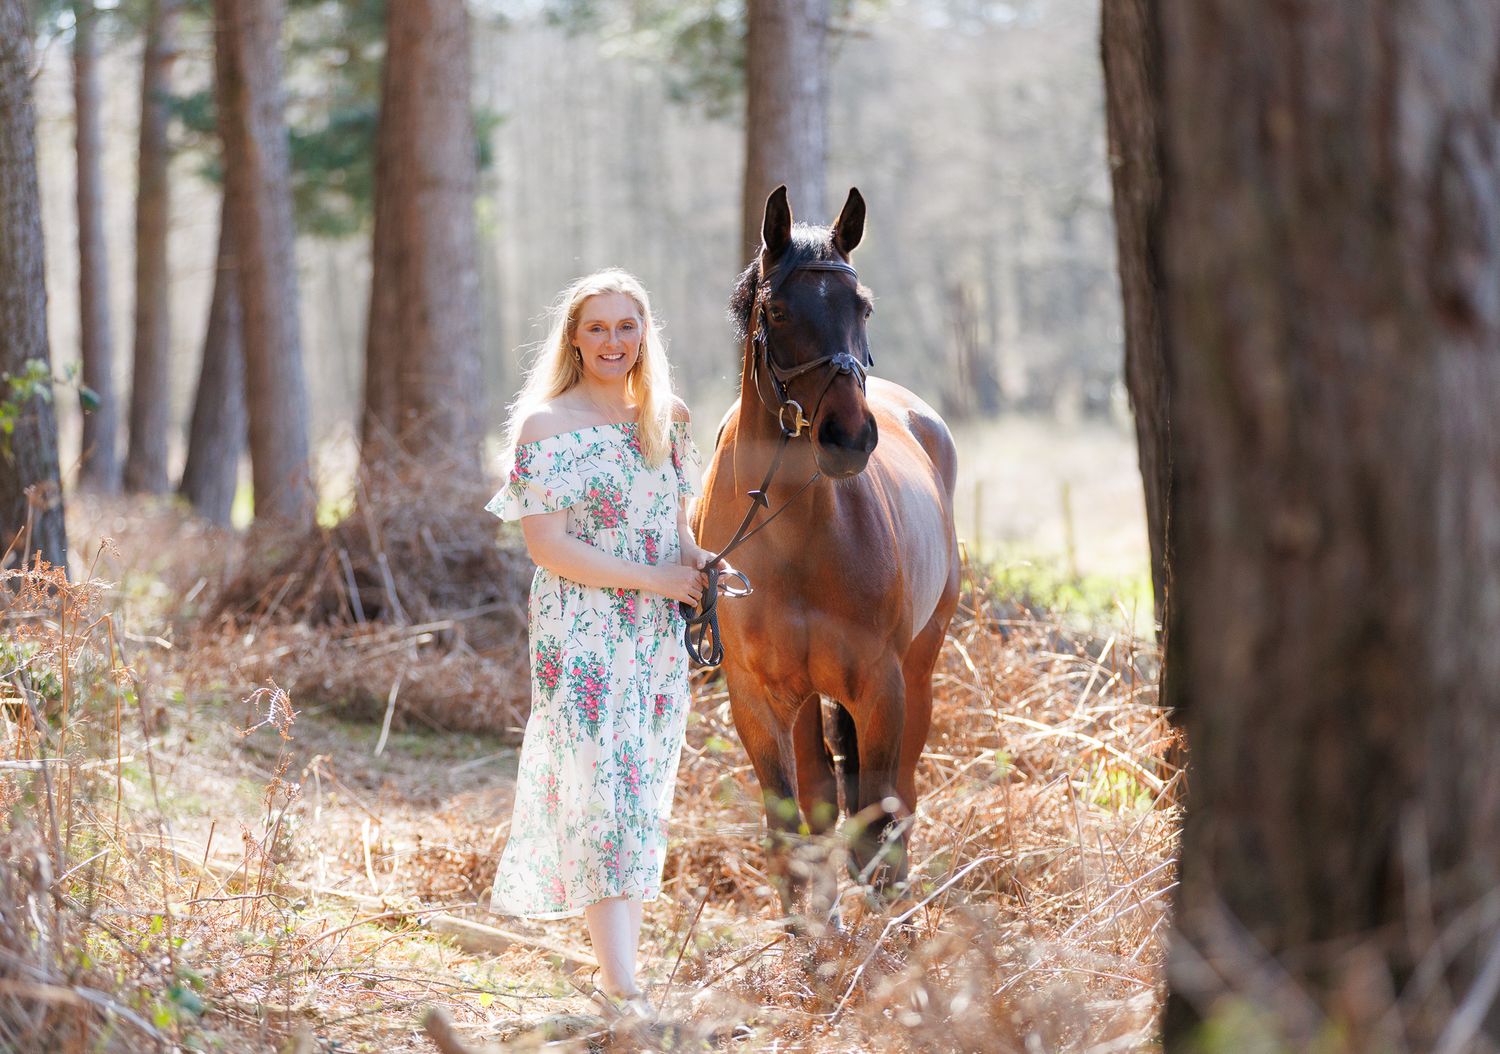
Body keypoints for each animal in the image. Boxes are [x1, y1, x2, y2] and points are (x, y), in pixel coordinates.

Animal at [692, 185, 961, 919]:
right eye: (780, 311)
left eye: (861, 305)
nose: (849, 437)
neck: (793, 540)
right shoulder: (754, 697)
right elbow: (789, 822)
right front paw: (809, 929)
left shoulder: (880, 686)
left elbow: (875, 820)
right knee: (819, 799)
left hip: (920, 668)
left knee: (898, 798)